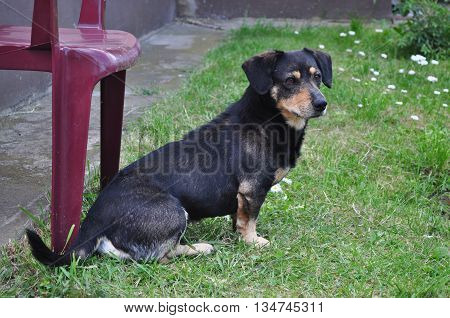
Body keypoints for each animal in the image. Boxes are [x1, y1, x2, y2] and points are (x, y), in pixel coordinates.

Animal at [27, 47, 330, 266]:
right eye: (290, 81)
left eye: (317, 77)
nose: (322, 103)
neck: (268, 118)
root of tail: (93, 223)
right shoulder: (253, 189)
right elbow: (249, 221)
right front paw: (254, 242)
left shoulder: (242, 196)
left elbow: (238, 217)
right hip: (174, 210)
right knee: (159, 257)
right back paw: (200, 248)